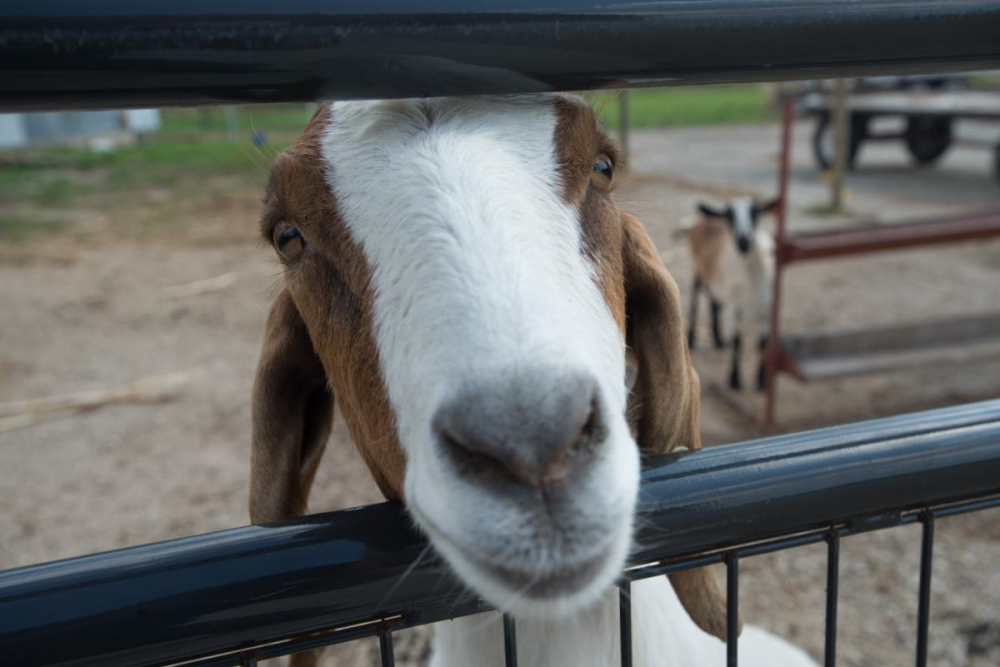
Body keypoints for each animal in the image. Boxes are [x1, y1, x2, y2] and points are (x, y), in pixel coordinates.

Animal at [684, 201, 776, 394]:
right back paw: (692, 338)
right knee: (696, 293)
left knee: (713, 301)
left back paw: (718, 340)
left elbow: (763, 343)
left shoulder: (766, 309)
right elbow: (738, 341)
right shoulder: (735, 307)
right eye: (730, 216)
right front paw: (734, 379)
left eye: (755, 213)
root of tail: (702, 218)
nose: (743, 241)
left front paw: (761, 380)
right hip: (699, 267)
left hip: (713, 277)